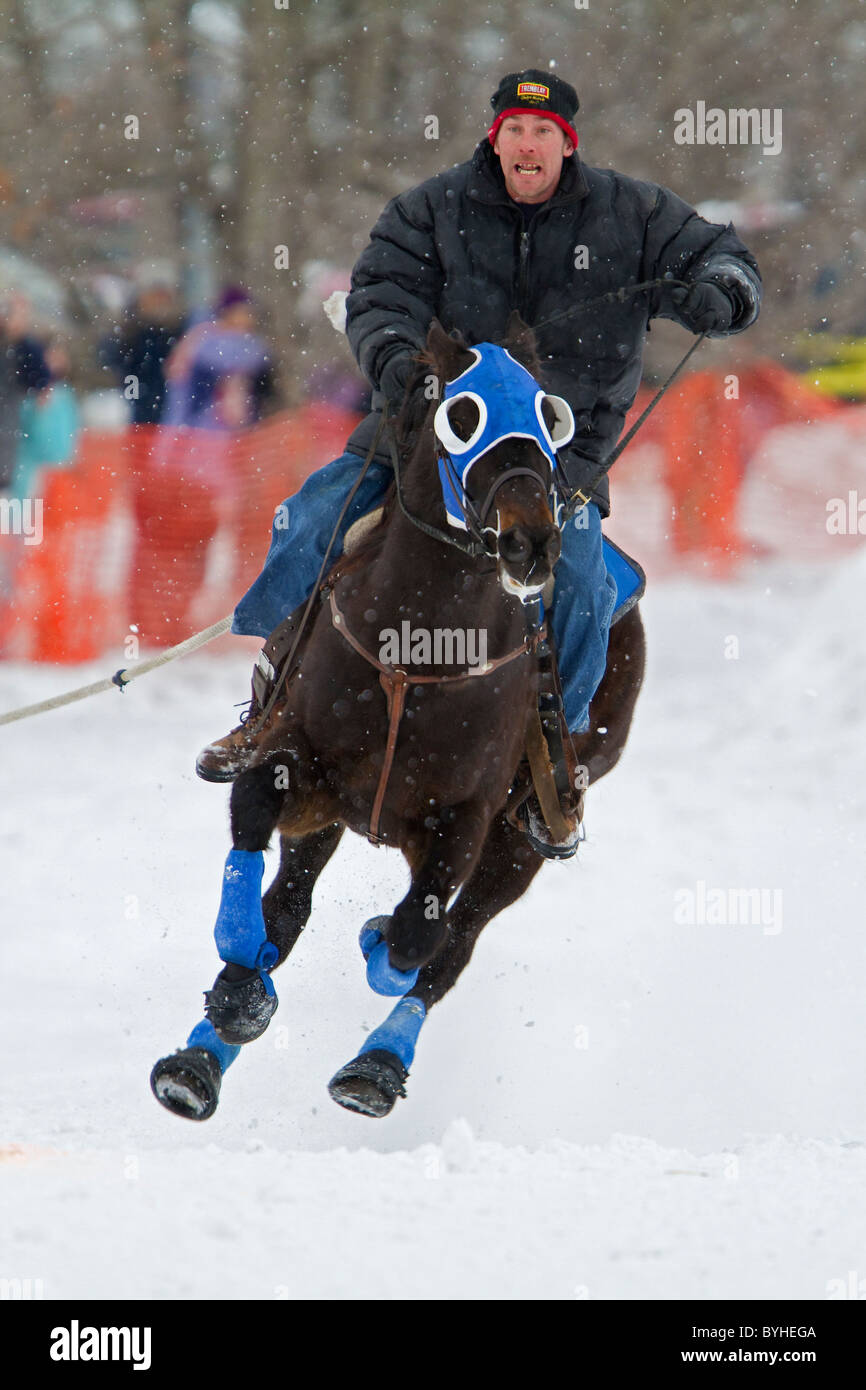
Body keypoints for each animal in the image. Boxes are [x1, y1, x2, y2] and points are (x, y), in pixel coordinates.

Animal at [152, 312, 647, 1117]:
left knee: (452, 946)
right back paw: (201, 1057)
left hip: (526, 835)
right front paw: (237, 990)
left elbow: (419, 940)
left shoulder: (469, 816)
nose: (532, 540)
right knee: (289, 905)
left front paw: (377, 940)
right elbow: (253, 826)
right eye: (462, 413)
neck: (421, 649)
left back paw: (375, 1064)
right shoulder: (294, 751)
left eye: (550, 413)